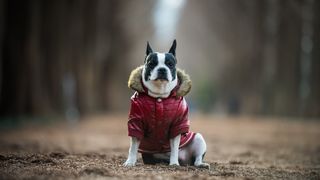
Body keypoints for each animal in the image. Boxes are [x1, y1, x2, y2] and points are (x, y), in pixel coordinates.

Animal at [123, 39, 210, 169]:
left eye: (170, 64)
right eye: (152, 63)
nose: (162, 69)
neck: (159, 96)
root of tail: (185, 159)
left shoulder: (177, 124)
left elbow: (174, 147)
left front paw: (174, 163)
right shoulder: (136, 122)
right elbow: (133, 147)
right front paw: (130, 162)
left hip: (199, 138)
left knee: (197, 159)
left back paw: (200, 164)